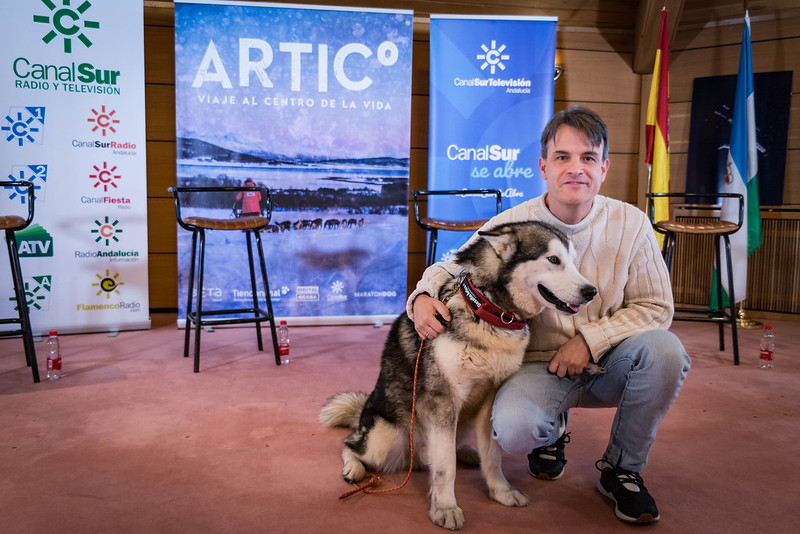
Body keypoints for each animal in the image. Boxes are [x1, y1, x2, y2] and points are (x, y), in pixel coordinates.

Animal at [318, 222, 592, 532]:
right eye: (553, 260)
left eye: (573, 261)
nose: (590, 291)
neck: (489, 311)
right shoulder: (443, 403)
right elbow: (445, 467)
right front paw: (445, 508)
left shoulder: (489, 400)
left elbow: (493, 457)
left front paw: (501, 491)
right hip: (385, 438)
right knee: (352, 445)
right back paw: (353, 467)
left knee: (439, 452)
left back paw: (468, 452)